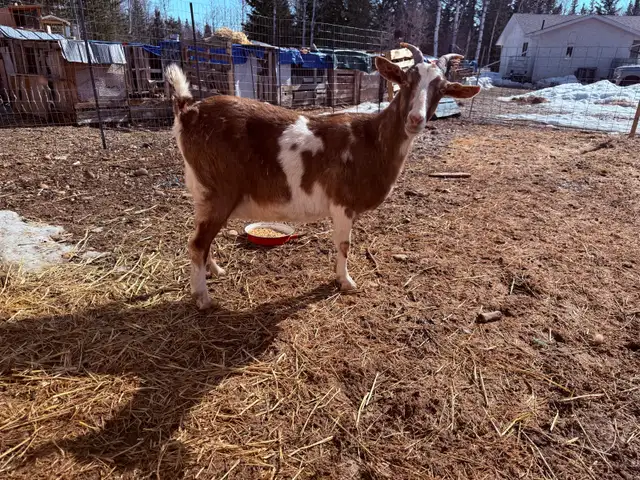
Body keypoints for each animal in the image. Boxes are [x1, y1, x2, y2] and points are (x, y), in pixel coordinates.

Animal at [166, 43, 480, 309]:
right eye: (405, 80)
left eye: (442, 89)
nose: (415, 119)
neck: (371, 140)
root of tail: (188, 111)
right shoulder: (342, 202)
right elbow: (344, 244)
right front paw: (346, 281)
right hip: (219, 190)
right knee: (197, 243)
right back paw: (203, 298)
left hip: (204, 193)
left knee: (201, 239)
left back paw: (215, 270)